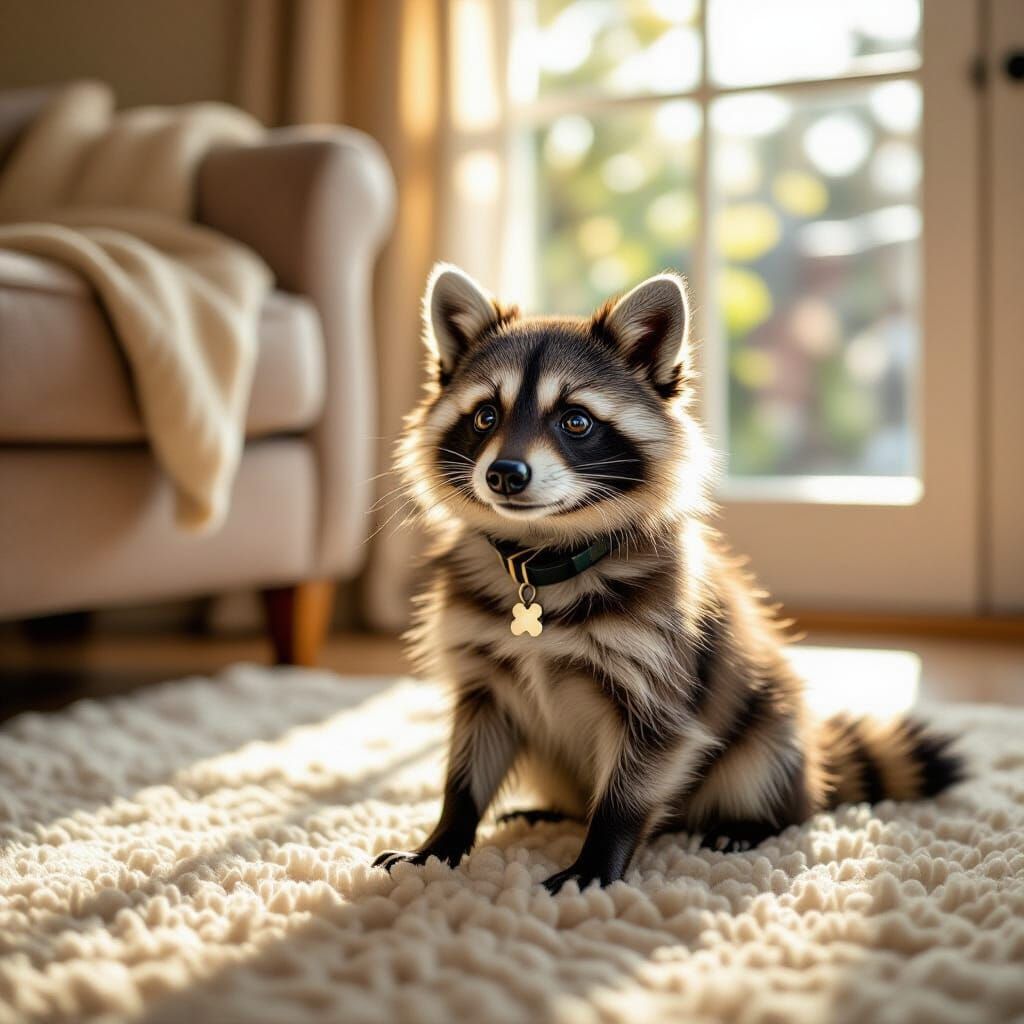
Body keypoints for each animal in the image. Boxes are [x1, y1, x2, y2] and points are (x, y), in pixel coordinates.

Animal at [374, 264, 963, 893]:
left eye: (576, 421)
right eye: (486, 415)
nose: (505, 474)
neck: (546, 552)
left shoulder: (661, 664)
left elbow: (641, 771)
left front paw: (597, 859)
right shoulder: (482, 669)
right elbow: (469, 759)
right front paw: (444, 837)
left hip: (772, 726)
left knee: (766, 768)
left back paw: (751, 821)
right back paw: (554, 811)